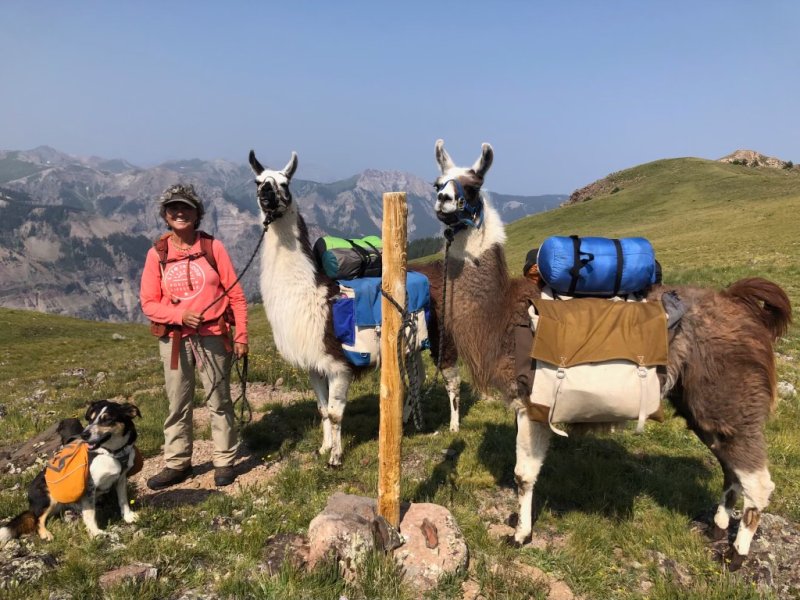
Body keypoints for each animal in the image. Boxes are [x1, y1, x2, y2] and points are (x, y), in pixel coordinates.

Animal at [0, 398, 141, 544]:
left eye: (107, 419)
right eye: (90, 419)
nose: (84, 434)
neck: (112, 453)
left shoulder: (121, 478)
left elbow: (123, 500)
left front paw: (128, 516)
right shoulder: (89, 487)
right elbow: (90, 513)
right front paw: (96, 533)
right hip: (49, 497)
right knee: (38, 519)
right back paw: (45, 533)